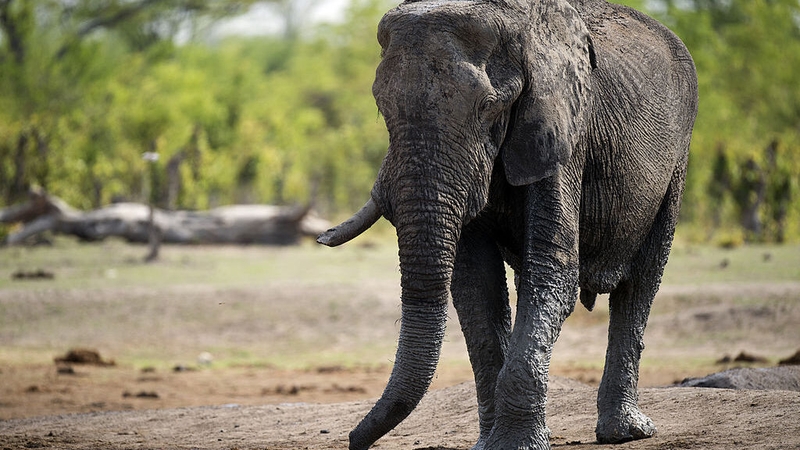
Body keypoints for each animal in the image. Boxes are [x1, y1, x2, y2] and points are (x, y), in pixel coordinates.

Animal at [317, 0, 698, 448]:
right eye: (381, 105)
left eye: (488, 106)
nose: (352, 440)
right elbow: (475, 287)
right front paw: (491, 444)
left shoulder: (563, 128)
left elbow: (552, 273)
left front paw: (516, 444)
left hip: (677, 158)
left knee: (641, 283)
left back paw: (625, 433)